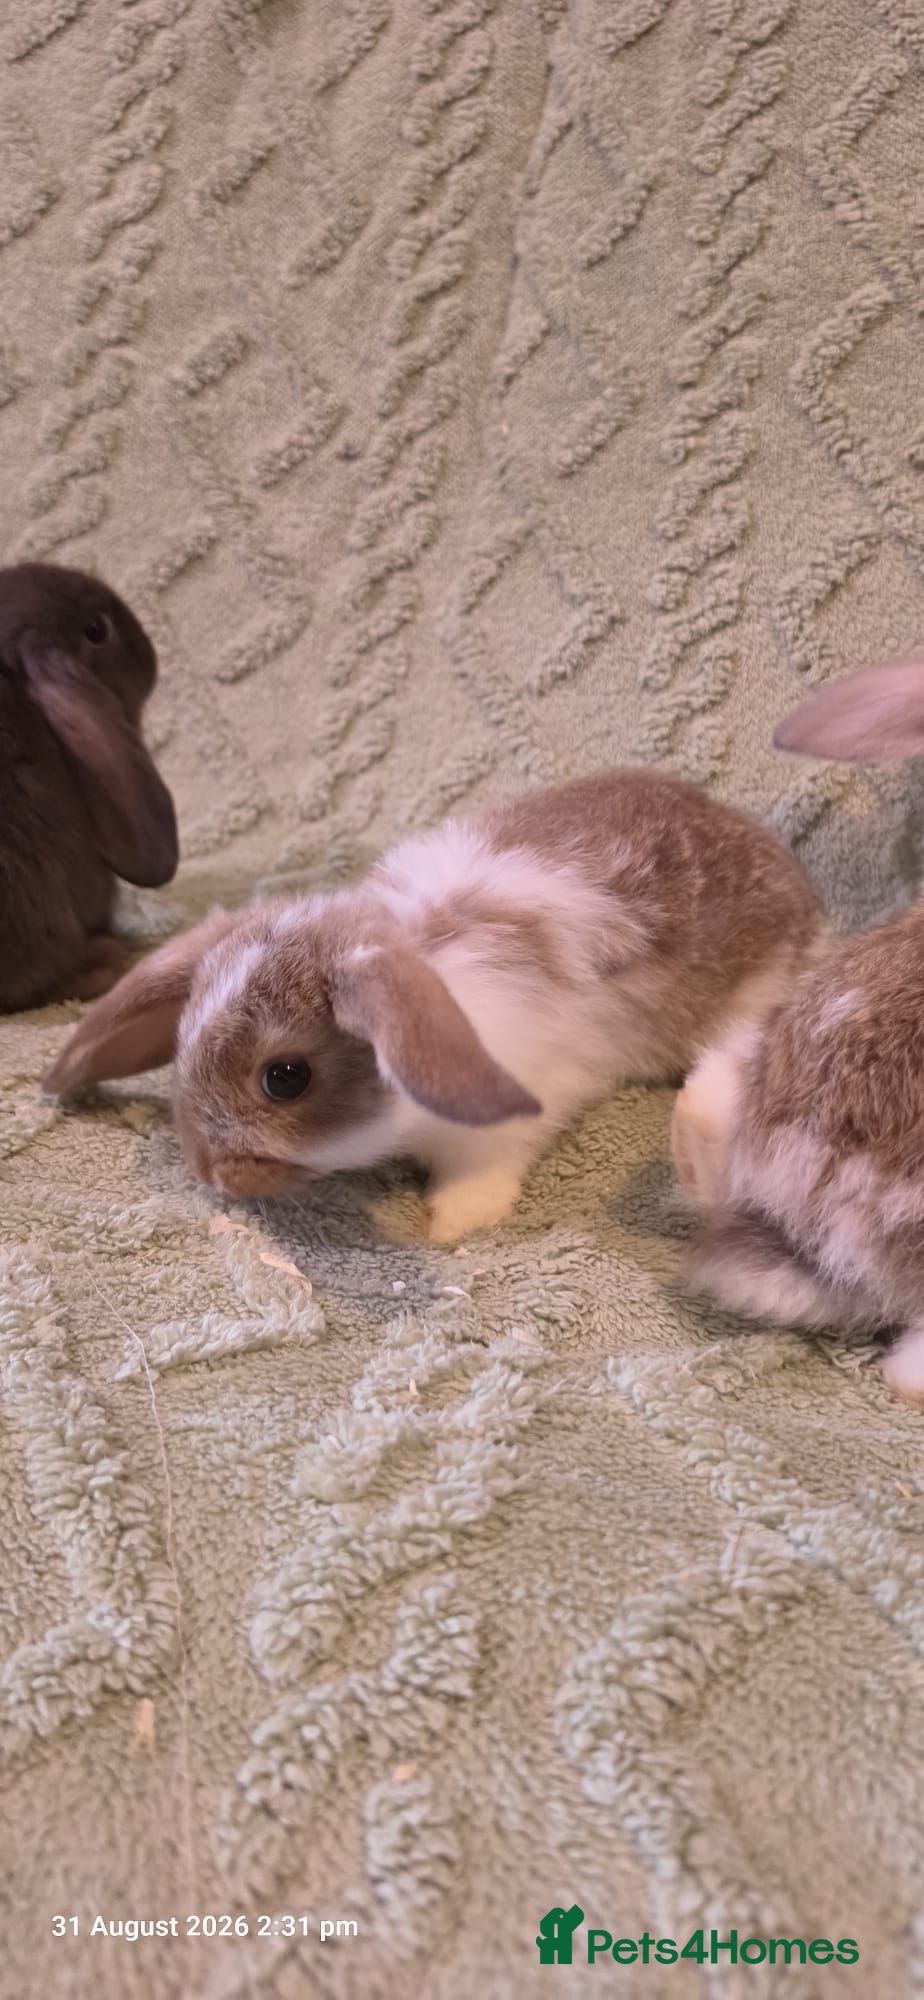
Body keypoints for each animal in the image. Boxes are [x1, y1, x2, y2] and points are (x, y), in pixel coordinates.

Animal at [43, 768, 823, 1243]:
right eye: (181, 1039)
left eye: (285, 1078)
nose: (210, 1171)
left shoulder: (503, 1125)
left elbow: (482, 1174)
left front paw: (448, 1226)